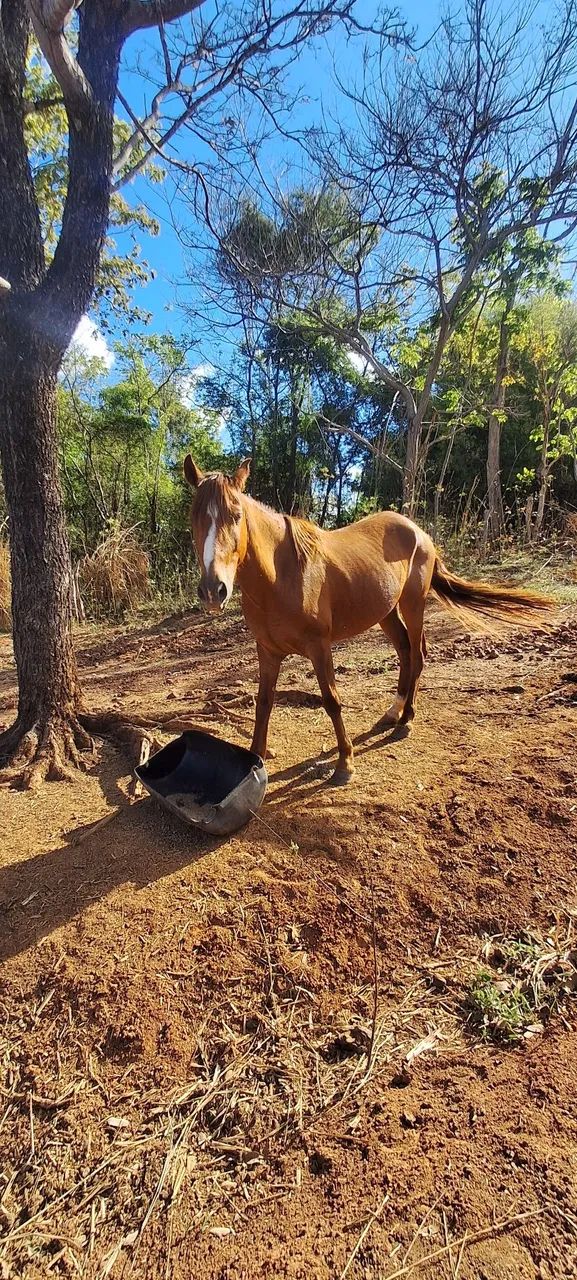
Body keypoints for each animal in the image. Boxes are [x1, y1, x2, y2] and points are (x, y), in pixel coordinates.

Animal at [184, 455, 553, 784]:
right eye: (195, 517)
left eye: (236, 515)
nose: (213, 590)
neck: (283, 575)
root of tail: (418, 531)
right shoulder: (267, 651)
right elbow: (263, 704)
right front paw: (256, 757)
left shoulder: (319, 647)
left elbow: (332, 701)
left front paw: (345, 763)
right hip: (387, 613)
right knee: (405, 652)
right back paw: (392, 712)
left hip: (412, 604)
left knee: (418, 654)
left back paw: (406, 720)